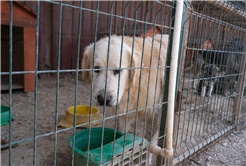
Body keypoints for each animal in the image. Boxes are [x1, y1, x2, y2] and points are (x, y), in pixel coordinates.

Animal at [82, 34, 169, 162]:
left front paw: (146, 160)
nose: (103, 99)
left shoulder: (156, 113)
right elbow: (121, 135)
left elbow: (150, 144)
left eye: (117, 71)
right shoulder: (123, 114)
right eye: (96, 69)